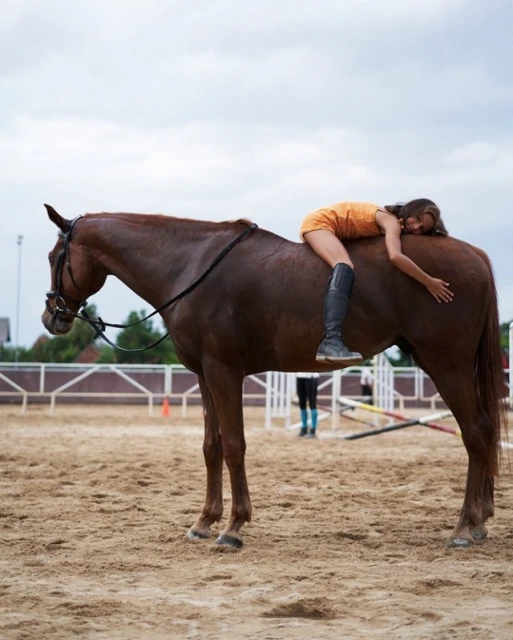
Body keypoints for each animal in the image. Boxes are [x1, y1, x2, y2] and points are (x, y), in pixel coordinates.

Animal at [41, 204, 507, 549]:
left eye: (51, 257)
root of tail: (474, 255)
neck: (190, 267)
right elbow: (211, 446)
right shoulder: (204, 375)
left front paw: (233, 528)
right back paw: (480, 520)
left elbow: (234, 445)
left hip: (446, 366)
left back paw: (464, 527)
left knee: (475, 434)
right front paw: (204, 521)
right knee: (483, 433)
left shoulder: (224, 372)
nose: (52, 316)